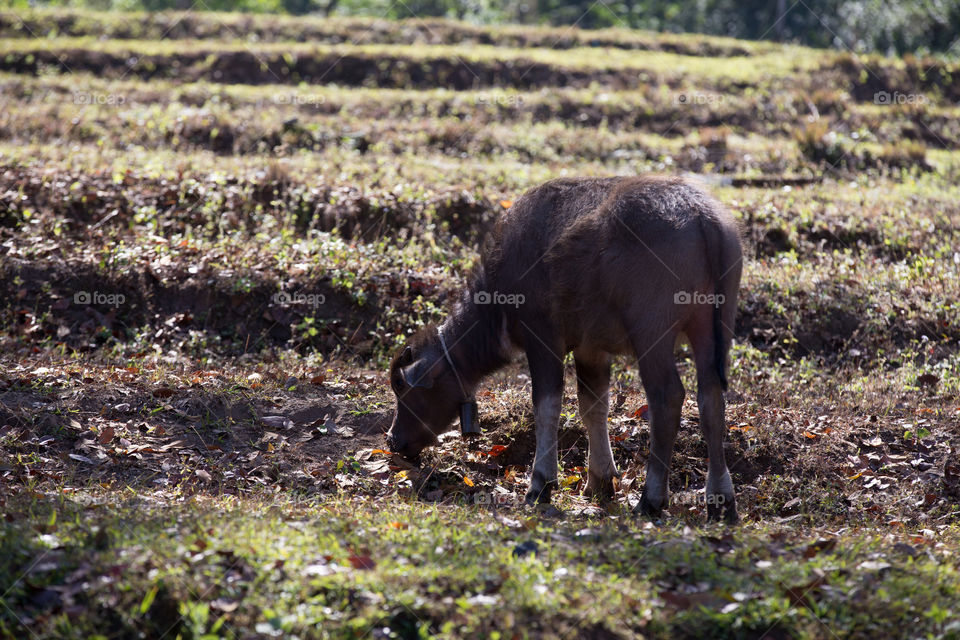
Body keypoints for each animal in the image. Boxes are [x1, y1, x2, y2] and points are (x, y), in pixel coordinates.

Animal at [386, 174, 748, 520]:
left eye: (401, 385)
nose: (393, 440)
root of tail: (702, 216)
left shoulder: (542, 339)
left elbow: (547, 406)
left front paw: (541, 483)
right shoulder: (591, 348)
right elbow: (593, 405)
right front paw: (600, 480)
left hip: (652, 332)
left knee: (667, 398)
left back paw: (651, 499)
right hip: (714, 325)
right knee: (711, 398)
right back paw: (721, 500)